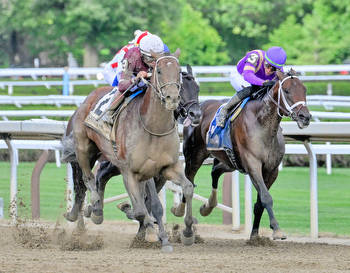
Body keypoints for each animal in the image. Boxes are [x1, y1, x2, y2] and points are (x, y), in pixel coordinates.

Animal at [176, 69, 310, 239]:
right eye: (286, 91)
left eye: (304, 90)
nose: (305, 117)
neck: (263, 126)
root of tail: (197, 109)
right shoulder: (253, 165)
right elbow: (266, 198)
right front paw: (277, 229)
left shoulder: (271, 170)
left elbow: (260, 203)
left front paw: (255, 236)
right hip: (194, 156)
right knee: (189, 180)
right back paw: (179, 210)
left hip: (230, 161)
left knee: (215, 172)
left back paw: (208, 206)